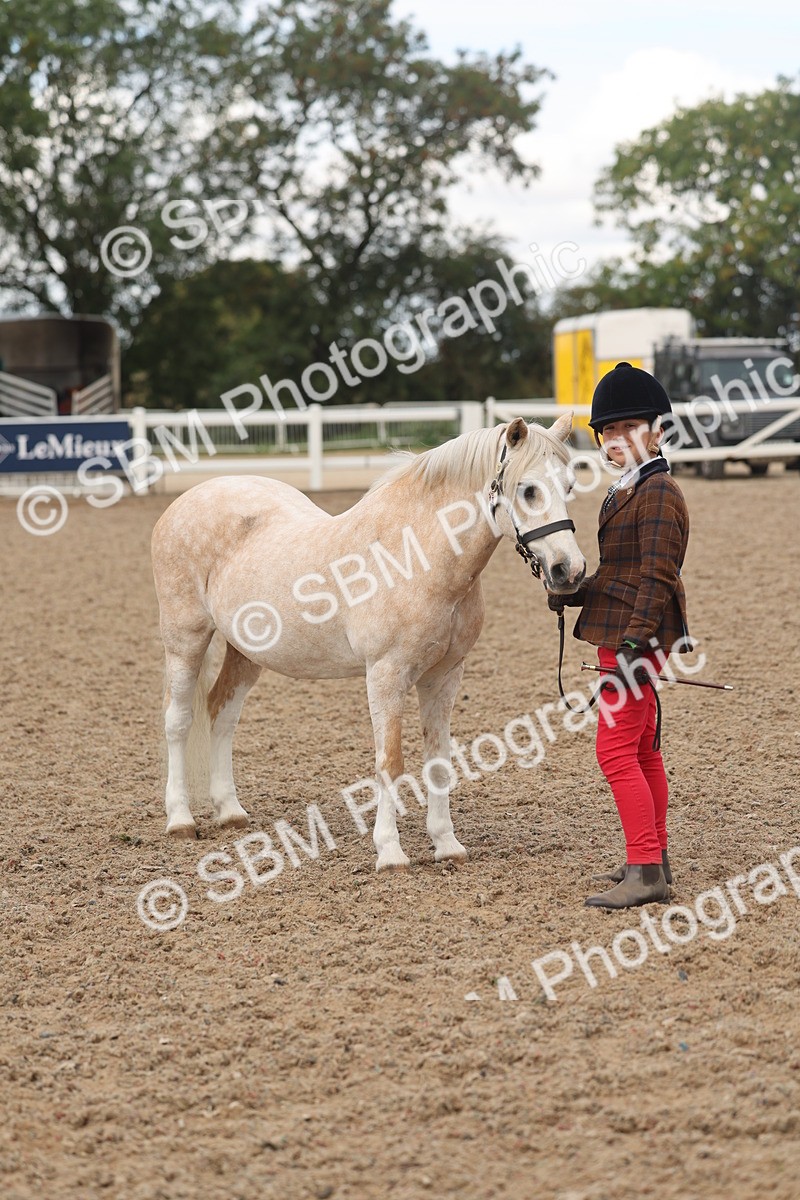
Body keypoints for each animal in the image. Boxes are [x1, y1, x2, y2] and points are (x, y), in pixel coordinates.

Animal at [150, 412, 586, 870]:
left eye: (569, 486)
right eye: (528, 488)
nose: (569, 571)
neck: (413, 557)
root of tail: (189, 498)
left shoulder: (444, 677)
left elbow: (439, 761)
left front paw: (446, 844)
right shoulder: (386, 675)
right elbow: (389, 762)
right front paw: (390, 851)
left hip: (246, 653)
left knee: (222, 713)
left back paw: (230, 811)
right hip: (185, 639)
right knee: (178, 720)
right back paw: (180, 819)